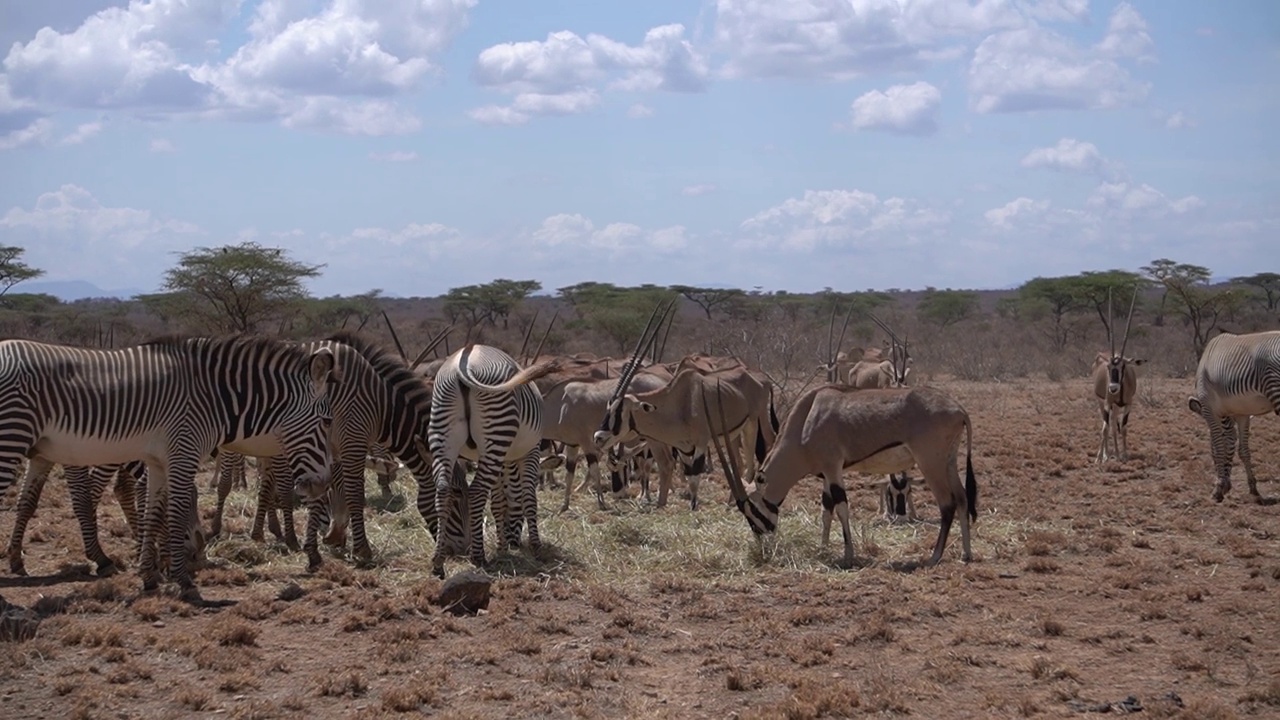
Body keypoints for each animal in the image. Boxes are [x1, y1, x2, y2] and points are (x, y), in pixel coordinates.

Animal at [0, 333, 340, 602]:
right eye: (326, 422)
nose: (322, 485)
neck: (213, 397)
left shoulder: (158, 461)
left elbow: (153, 514)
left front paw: (149, 576)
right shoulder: (183, 455)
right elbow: (175, 515)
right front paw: (183, 579)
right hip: (13, 437)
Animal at [430, 345, 555, 573]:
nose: (515, 543)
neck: (509, 463)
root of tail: (464, 361)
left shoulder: (497, 459)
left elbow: (498, 503)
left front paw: (501, 548)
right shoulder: (530, 452)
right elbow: (529, 498)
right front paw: (536, 549)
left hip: (443, 430)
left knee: (443, 490)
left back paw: (438, 560)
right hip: (496, 429)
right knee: (477, 491)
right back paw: (478, 557)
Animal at [706, 381, 972, 566]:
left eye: (751, 510)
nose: (763, 544)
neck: (806, 419)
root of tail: (959, 410)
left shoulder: (834, 468)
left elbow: (842, 508)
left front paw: (848, 554)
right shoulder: (826, 474)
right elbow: (826, 511)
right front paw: (823, 549)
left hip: (930, 463)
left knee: (947, 503)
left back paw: (935, 556)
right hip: (948, 462)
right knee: (961, 498)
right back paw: (966, 553)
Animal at [1095, 288, 1146, 461]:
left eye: (1123, 366)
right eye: (1109, 367)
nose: (1113, 388)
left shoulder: (1128, 404)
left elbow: (1122, 428)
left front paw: (1124, 454)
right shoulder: (1107, 403)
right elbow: (1105, 428)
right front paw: (1101, 458)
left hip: (1117, 406)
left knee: (1113, 425)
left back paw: (1115, 453)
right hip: (1103, 403)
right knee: (1107, 425)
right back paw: (1105, 454)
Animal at [1187, 330, 1280, 502]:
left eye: (1210, 451)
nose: (1226, 486)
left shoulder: (1210, 410)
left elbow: (1220, 447)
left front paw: (1218, 489)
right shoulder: (1241, 413)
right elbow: (1241, 449)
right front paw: (1253, 488)